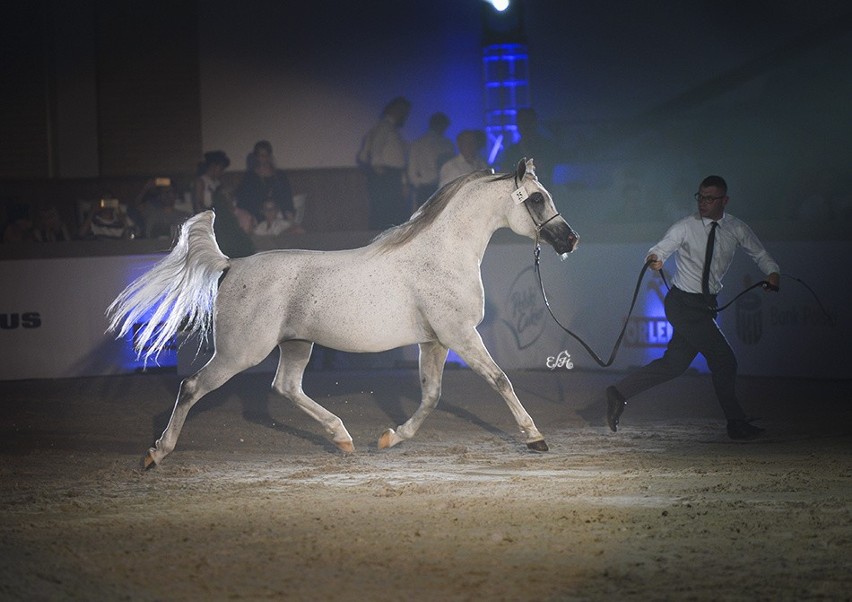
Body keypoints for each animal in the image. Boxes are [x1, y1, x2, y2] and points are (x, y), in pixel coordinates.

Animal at [105, 157, 572, 466]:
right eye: (536, 198)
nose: (570, 240)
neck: (441, 254)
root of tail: (232, 265)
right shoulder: (460, 335)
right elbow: (499, 380)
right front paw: (535, 438)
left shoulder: (436, 341)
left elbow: (432, 395)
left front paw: (390, 438)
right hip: (241, 352)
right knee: (191, 387)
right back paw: (156, 454)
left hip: (296, 344)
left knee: (285, 387)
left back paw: (342, 438)